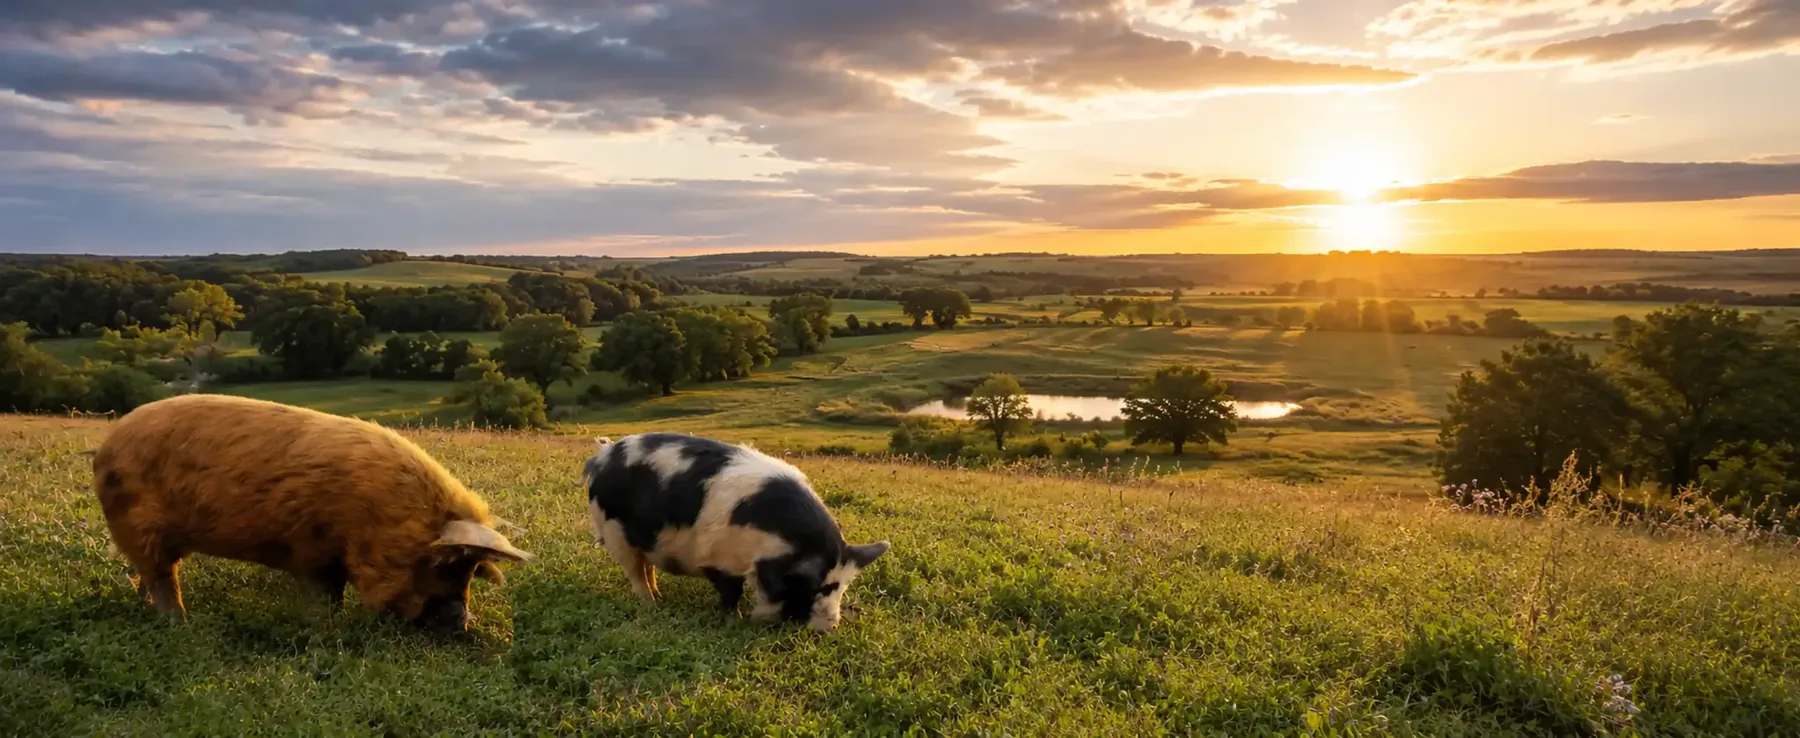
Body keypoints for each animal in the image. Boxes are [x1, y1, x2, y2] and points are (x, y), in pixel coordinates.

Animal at [92, 393, 532, 635]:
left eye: (472, 571)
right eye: (445, 565)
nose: (463, 622)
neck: (378, 517)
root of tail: (105, 448)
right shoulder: (314, 548)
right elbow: (326, 594)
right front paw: (328, 627)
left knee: (151, 575)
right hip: (140, 526)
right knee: (163, 577)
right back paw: (182, 624)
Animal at [580, 432, 889, 632]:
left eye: (842, 587)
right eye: (816, 587)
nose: (829, 627)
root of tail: (601, 457)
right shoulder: (719, 558)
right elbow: (731, 592)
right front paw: (735, 622)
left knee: (647, 567)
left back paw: (659, 595)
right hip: (614, 532)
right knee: (635, 572)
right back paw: (651, 604)